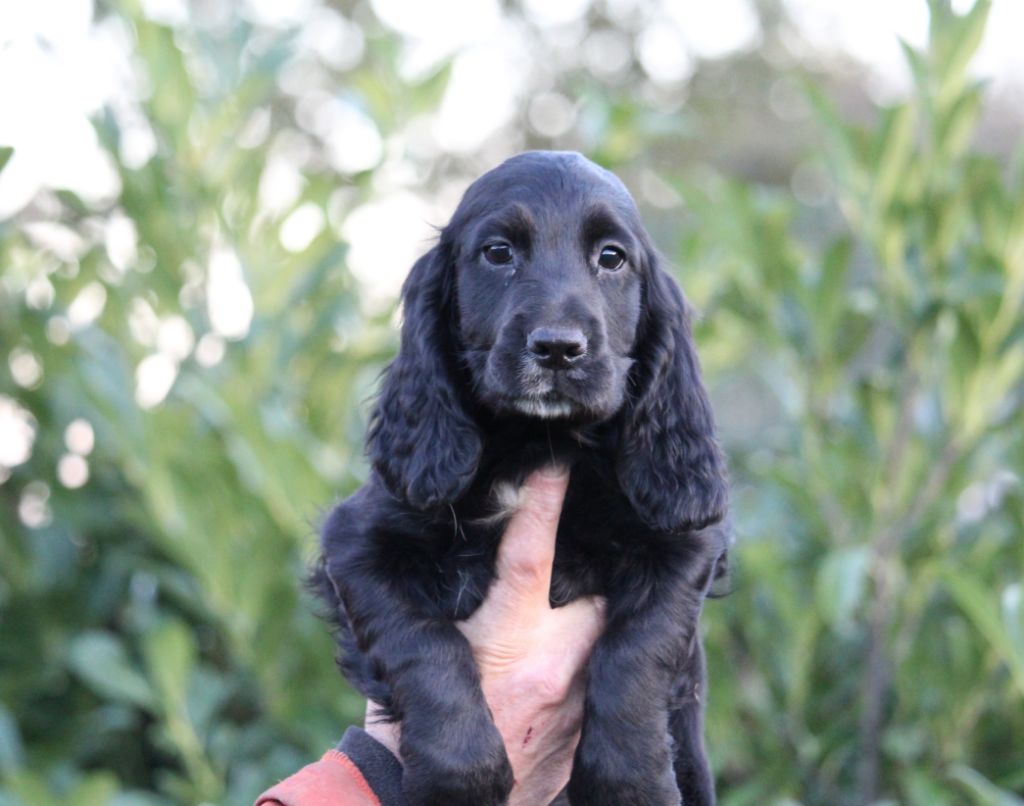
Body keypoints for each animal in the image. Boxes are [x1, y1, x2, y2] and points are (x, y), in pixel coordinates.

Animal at [315, 152, 733, 806]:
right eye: (498, 252)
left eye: (611, 257)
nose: (558, 348)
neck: (538, 442)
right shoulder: (356, 545)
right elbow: (421, 643)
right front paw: (461, 776)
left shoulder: (685, 546)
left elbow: (638, 648)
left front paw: (629, 781)